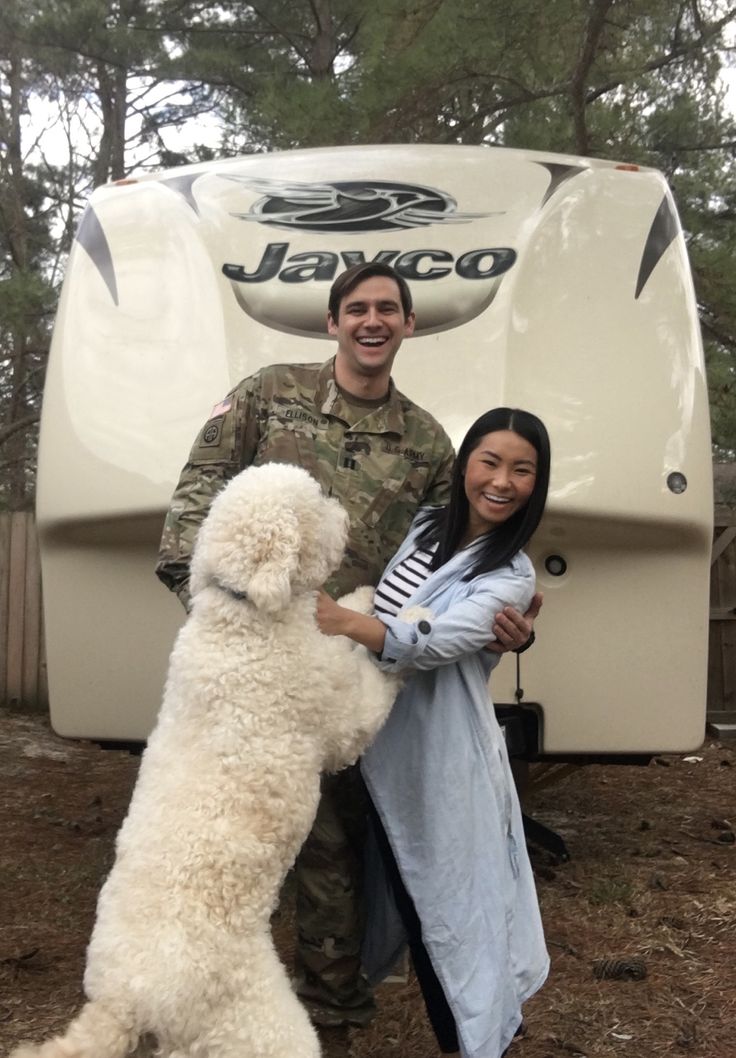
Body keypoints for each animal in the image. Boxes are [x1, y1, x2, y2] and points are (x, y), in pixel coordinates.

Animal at [11, 463, 401, 1058]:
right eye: (314, 506)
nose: (345, 518)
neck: (241, 614)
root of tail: (121, 1002)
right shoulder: (341, 718)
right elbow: (372, 684)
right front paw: (400, 614)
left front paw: (359, 600)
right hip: (260, 1025)